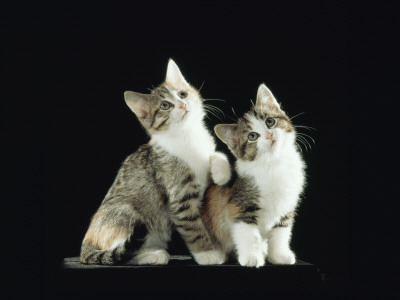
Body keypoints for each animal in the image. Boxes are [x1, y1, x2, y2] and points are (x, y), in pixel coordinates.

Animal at [79, 59, 230, 264]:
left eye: (182, 94)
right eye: (165, 105)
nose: (182, 104)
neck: (188, 135)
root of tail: (86, 244)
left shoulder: (207, 151)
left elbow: (216, 154)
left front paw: (221, 173)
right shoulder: (179, 196)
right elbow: (193, 228)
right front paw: (207, 253)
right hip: (127, 212)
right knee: (123, 253)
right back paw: (154, 255)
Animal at [203, 84, 306, 268]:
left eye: (270, 122)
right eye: (252, 136)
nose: (269, 135)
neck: (273, 163)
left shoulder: (286, 205)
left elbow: (281, 231)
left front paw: (279, 255)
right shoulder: (240, 204)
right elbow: (248, 233)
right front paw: (251, 257)